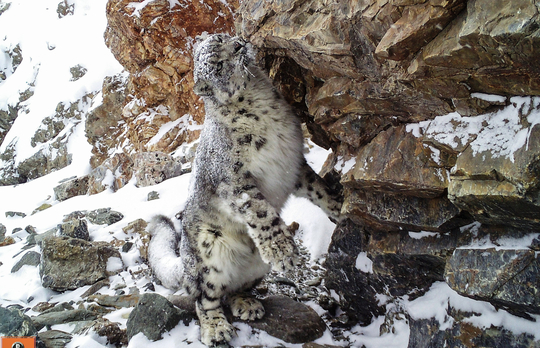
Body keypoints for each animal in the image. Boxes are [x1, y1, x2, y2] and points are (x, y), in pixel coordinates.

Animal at [148, 33, 342, 346]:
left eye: (222, 37)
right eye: (216, 65)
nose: (240, 45)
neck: (262, 106)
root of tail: (185, 263)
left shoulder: (295, 164)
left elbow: (318, 188)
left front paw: (338, 205)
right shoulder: (235, 181)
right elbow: (261, 212)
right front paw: (283, 250)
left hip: (255, 269)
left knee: (235, 289)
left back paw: (248, 304)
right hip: (208, 256)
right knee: (205, 297)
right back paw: (216, 328)